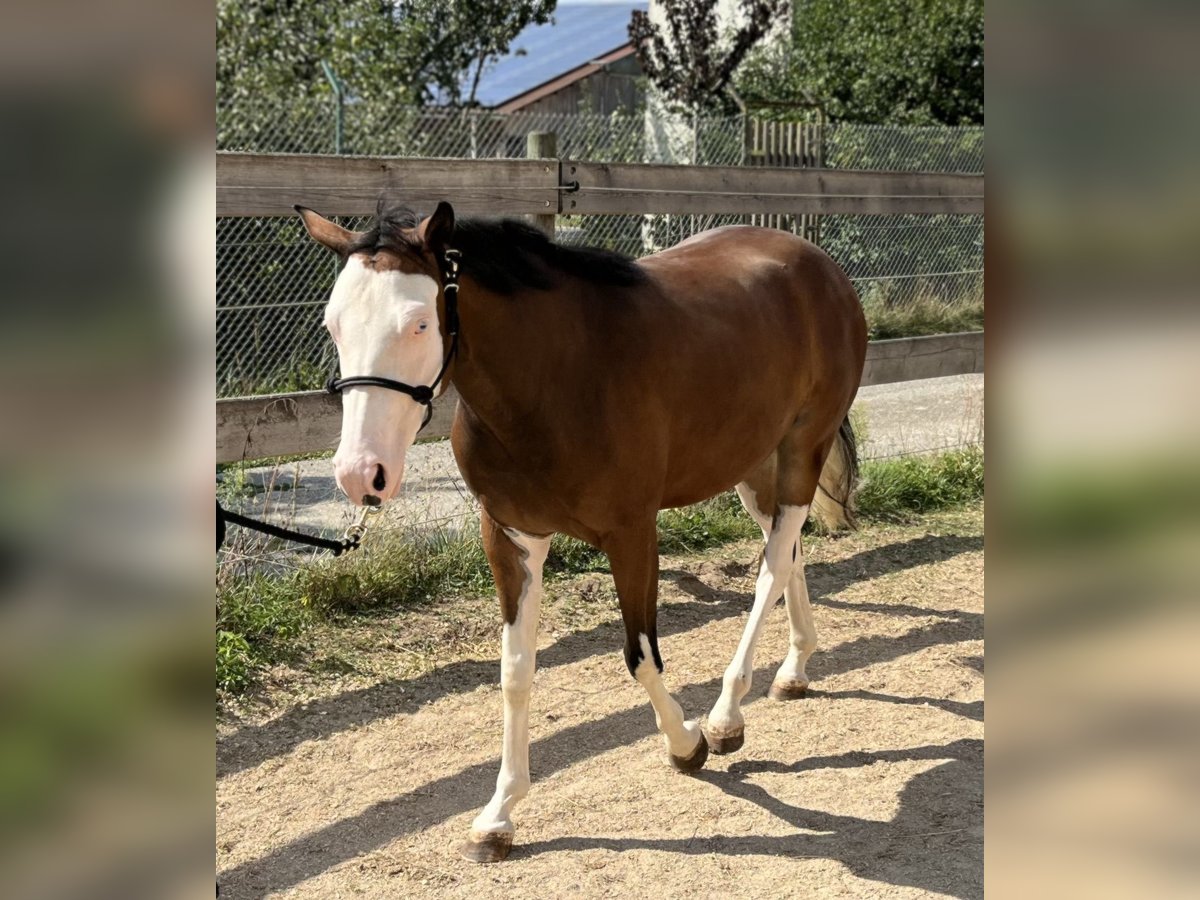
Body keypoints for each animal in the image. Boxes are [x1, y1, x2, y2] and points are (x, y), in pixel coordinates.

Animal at [296, 200, 868, 864]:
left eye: (417, 323)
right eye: (334, 325)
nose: (361, 473)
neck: (556, 382)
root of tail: (817, 263)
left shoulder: (633, 534)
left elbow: (640, 656)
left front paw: (687, 744)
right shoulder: (511, 539)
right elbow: (515, 673)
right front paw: (498, 816)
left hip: (803, 448)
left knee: (773, 567)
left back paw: (727, 717)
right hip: (753, 465)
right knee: (789, 552)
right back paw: (794, 671)